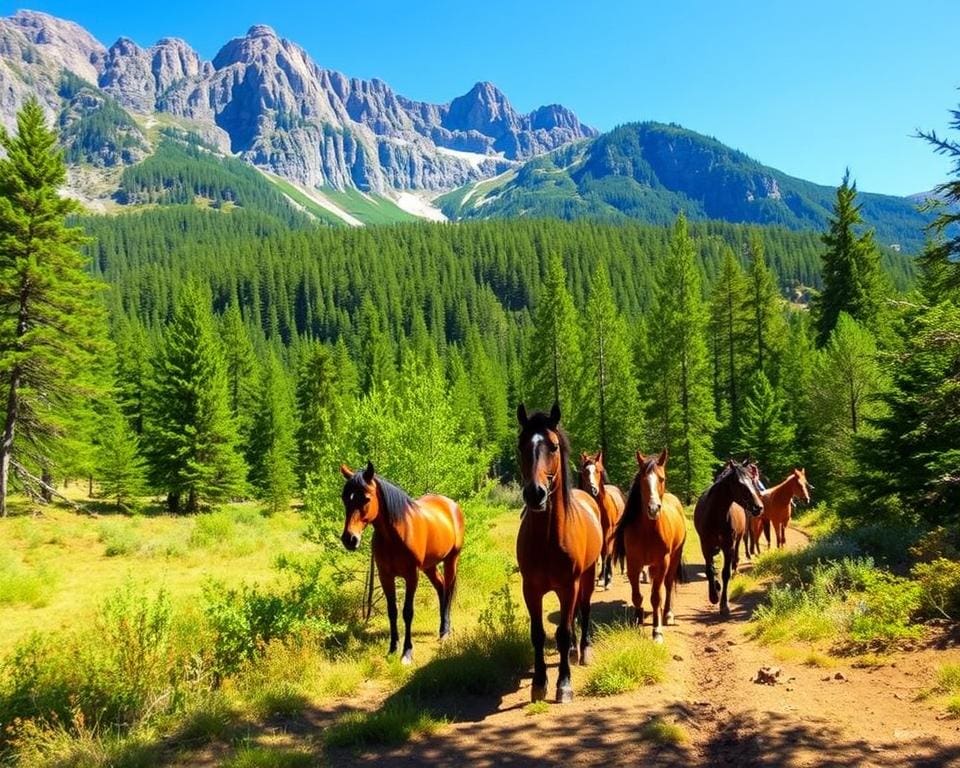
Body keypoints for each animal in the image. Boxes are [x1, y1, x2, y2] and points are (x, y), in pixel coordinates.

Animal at [342, 460, 464, 664]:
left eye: (365, 499)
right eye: (344, 498)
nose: (349, 539)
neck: (396, 534)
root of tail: (451, 505)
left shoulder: (411, 575)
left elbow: (407, 612)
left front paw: (407, 652)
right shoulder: (385, 576)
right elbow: (392, 611)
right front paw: (392, 649)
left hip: (451, 560)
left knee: (447, 590)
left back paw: (445, 632)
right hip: (430, 566)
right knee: (441, 588)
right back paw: (441, 628)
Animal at [516, 402, 600, 704]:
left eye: (552, 446)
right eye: (520, 446)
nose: (535, 494)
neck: (548, 539)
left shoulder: (568, 585)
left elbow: (562, 633)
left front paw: (564, 684)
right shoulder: (531, 589)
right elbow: (538, 634)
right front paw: (539, 683)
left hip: (586, 578)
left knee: (583, 610)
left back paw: (583, 650)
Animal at [576, 450, 632, 588]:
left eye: (597, 470)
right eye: (585, 471)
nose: (593, 490)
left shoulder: (608, 533)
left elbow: (607, 553)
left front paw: (608, 580)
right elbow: (599, 553)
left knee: (609, 553)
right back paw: (601, 575)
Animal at [612, 450, 688, 640]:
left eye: (662, 478)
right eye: (642, 480)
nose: (653, 509)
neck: (648, 531)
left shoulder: (662, 563)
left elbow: (655, 597)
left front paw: (657, 630)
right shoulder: (633, 564)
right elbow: (637, 596)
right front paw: (637, 619)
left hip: (673, 559)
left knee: (667, 585)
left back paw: (667, 614)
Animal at [696, 462, 764, 616]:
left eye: (752, 480)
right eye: (740, 484)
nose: (758, 507)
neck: (715, 515)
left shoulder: (728, 546)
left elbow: (725, 573)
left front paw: (724, 605)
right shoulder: (705, 545)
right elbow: (709, 570)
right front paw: (713, 595)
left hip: (737, 540)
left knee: (736, 555)